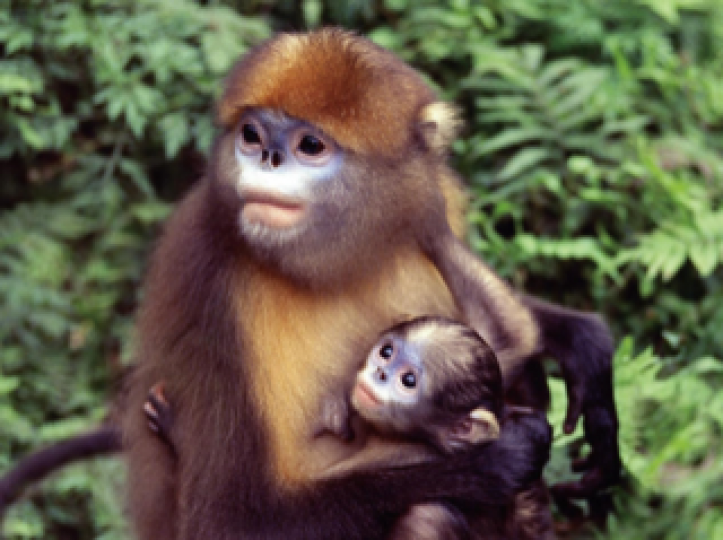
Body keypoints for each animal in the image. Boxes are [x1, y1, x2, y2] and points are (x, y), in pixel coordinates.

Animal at [144, 314, 552, 536]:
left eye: (408, 380)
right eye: (386, 352)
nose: (380, 371)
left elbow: (237, 527)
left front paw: (178, 429)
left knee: (428, 516)